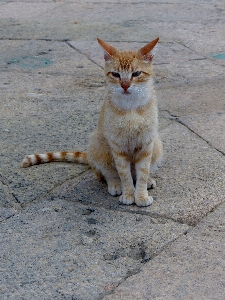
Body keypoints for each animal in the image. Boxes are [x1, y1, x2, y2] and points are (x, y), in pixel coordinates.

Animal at [22, 37, 163, 206]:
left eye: (136, 73)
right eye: (115, 74)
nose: (125, 85)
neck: (131, 108)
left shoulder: (147, 144)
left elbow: (142, 172)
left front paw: (141, 195)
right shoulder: (117, 147)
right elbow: (124, 174)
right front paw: (129, 193)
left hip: (157, 144)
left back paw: (149, 180)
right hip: (98, 143)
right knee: (105, 173)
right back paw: (115, 184)